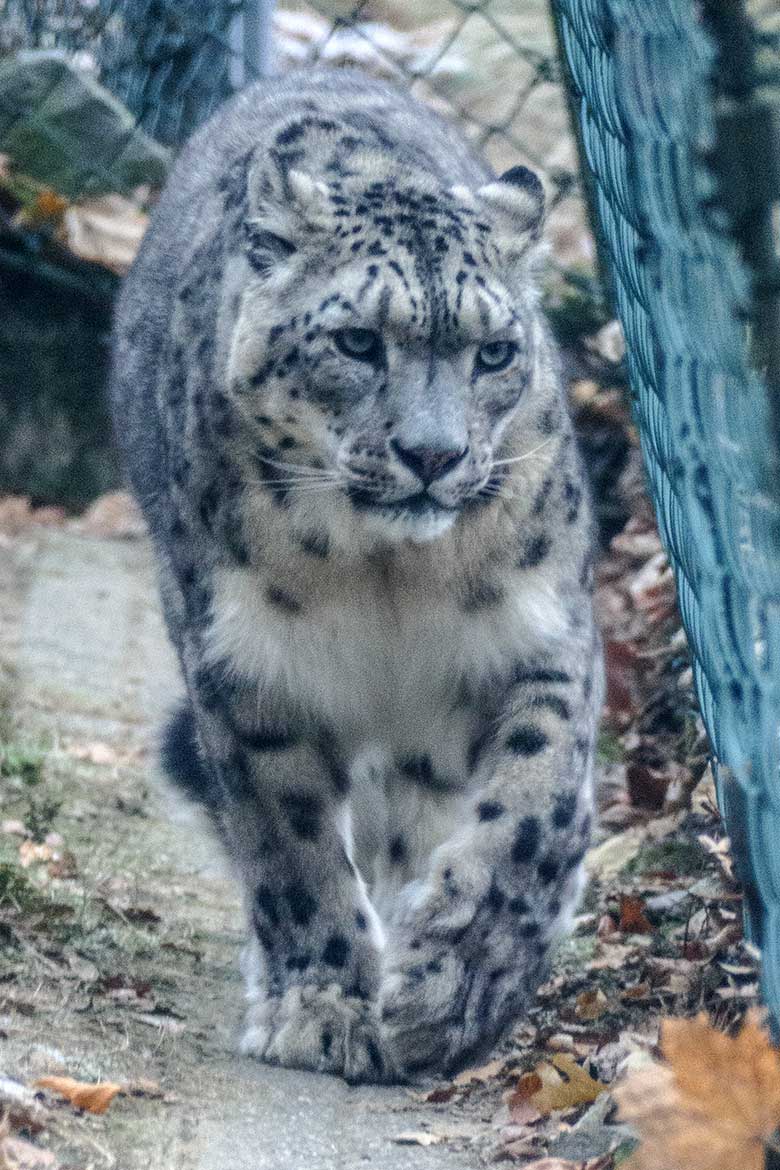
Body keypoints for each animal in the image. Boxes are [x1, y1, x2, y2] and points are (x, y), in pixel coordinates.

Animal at [109, 68, 603, 1081]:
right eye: (358, 342)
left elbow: (534, 806)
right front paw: (323, 1006)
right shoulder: (251, 670)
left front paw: (456, 982)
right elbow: (290, 843)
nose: (433, 455)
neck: (388, 579)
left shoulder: (538, 635)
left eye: (495, 352)